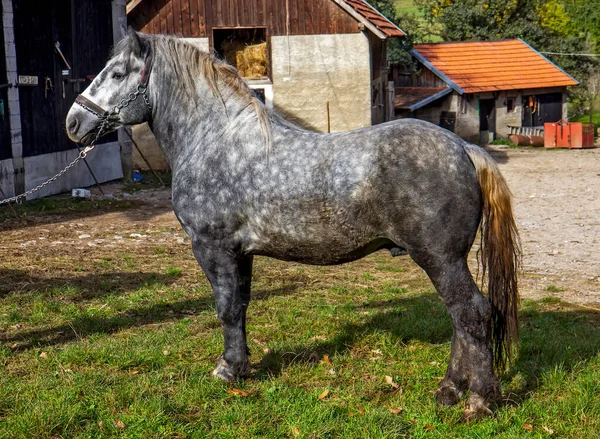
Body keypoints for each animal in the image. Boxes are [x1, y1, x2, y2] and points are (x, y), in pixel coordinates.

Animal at [67, 31, 520, 420]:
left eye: (118, 73)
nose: (73, 122)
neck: (216, 141)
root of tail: (463, 147)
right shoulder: (240, 253)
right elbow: (240, 306)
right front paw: (241, 366)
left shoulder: (212, 247)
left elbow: (225, 308)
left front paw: (227, 370)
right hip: (444, 261)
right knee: (459, 319)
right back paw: (450, 389)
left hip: (440, 259)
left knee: (472, 314)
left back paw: (478, 399)